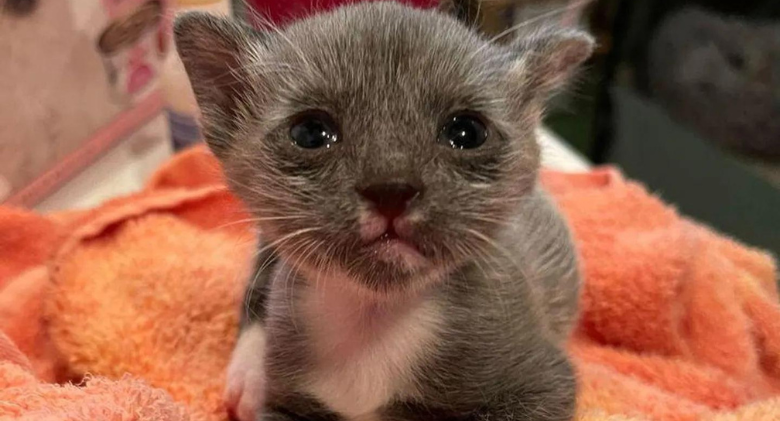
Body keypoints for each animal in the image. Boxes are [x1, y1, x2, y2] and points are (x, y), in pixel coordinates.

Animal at [175, 3, 592, 420]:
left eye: (467, 132)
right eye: (310, 133)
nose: (391, 189)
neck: (373, 321)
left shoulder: (544, 384)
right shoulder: (286, 403)